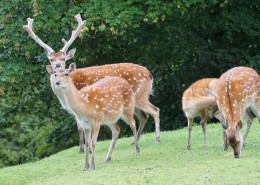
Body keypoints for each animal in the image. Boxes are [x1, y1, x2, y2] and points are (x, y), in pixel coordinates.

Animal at [22, 14, 160, 153]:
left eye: (63, 58)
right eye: (51, 59)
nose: (58, 66)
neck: (63, 97)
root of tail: (149, 73)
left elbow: (81, 127)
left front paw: (84, 149)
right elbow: (80, 127)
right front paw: (82, 149)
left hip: (140, 95)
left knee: (155, 110)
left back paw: (156, 139)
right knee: (144, 116)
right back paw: (134, 141)